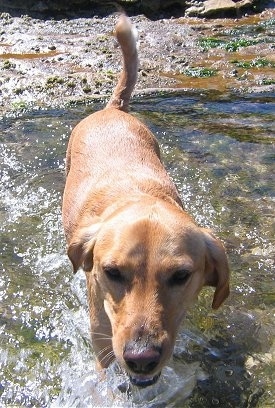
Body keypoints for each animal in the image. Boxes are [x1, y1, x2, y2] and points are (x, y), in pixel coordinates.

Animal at [63, 15, 231, 388]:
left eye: (181, 276)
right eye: (112, 272)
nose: (141, 358)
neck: (137, 197)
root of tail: (112, 109)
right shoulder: (102, 339)